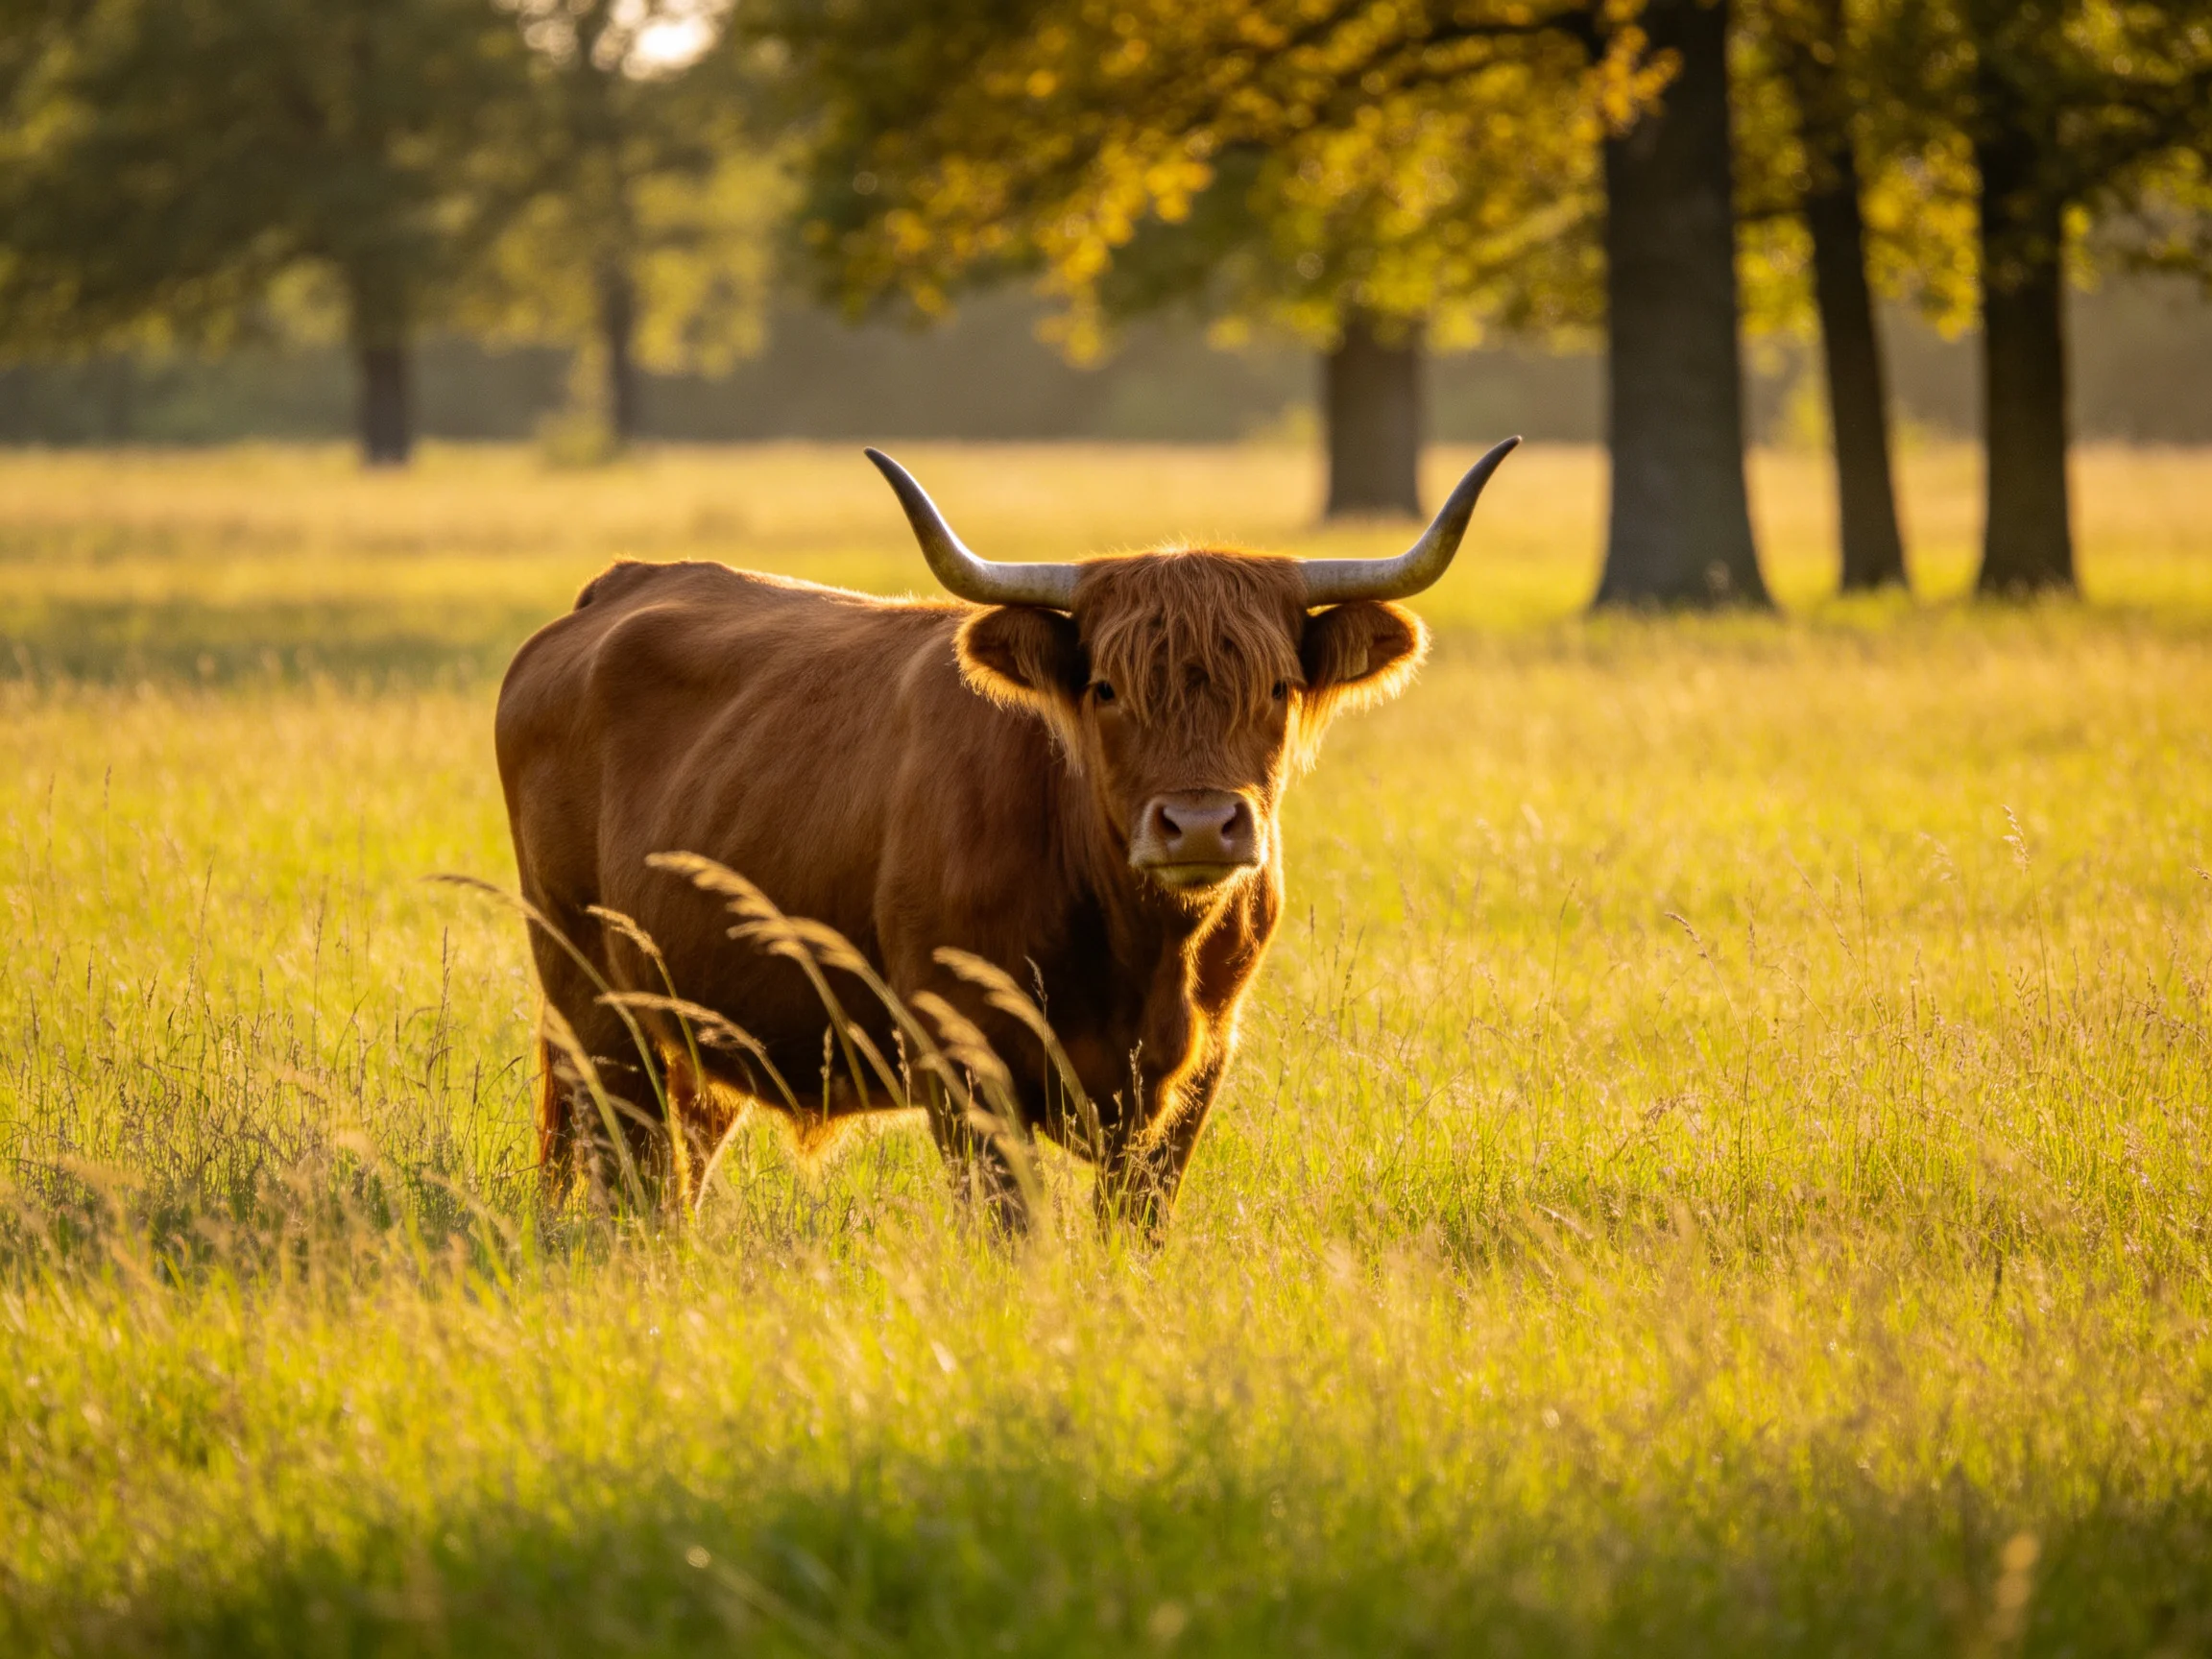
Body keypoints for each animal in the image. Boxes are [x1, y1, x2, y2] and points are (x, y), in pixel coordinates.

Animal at [494, 437, 1518, 1232]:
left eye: (1276, 686)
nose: (1198, 823)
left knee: (685, 1156)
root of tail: (617, 590)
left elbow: (1136, 1226)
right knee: (628, 1164)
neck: (1140, 952)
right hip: (590, 993)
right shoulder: (964, 1058)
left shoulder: (1197, 1066)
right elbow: (1009, 1226)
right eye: (1105, 687)